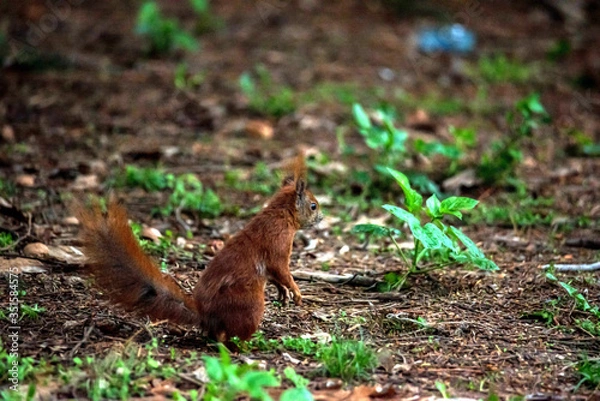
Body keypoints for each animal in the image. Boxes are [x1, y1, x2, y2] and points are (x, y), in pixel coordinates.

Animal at [80, 156, 326, 340]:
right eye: (313, 206)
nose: (322, 218)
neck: (281, 215)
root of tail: (206, 317)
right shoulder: (278, 245)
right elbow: (282, 271)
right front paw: (296, 292)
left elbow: (275, 276)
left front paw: (283, 293)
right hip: (250, 303)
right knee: (226, 337)